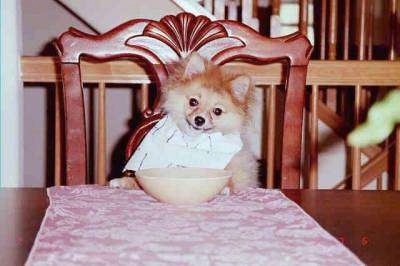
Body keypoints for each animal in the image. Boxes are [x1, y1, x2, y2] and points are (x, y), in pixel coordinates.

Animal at [110, 52, 260, 192]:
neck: (191, 142)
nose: (199, 120)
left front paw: (224, 187)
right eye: (193, 102)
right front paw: (124, 181)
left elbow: (232, 179)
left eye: (217, 111)